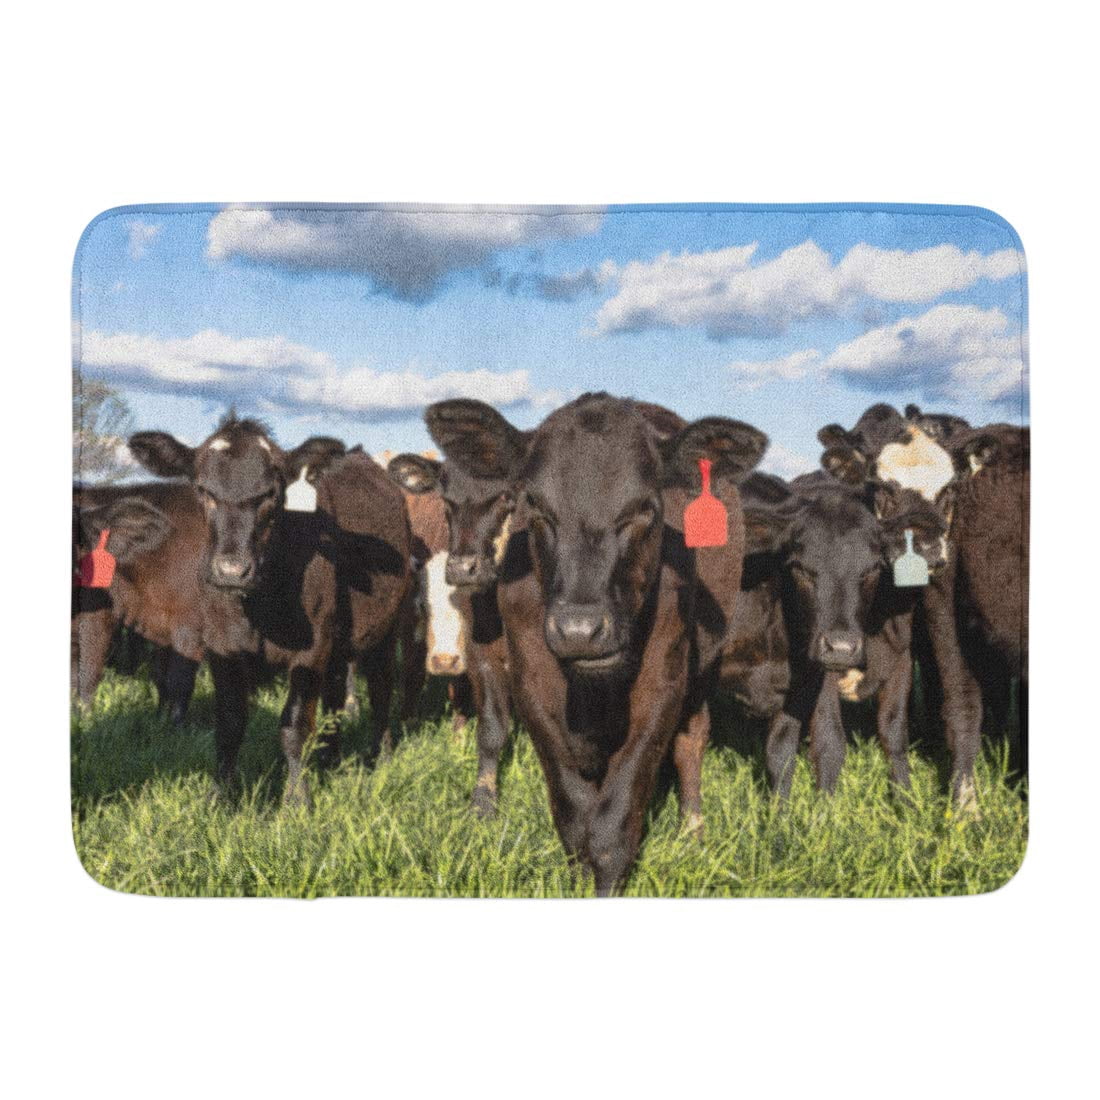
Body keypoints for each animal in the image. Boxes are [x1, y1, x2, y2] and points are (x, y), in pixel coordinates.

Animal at [127, 417, 412, 804]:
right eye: (204, 490)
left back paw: (380, 756)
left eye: (271, 495)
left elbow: (294, 726)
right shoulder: (222, 646)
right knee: (336, 695)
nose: (232, 570)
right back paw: (330, 758)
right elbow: (230, 723)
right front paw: (220, 795)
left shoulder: (311, 649)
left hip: (387, 627)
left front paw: (297, 800)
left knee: (382, 688)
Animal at [427, 393, 767, 894]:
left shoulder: (663, 688)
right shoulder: (529, 682)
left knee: (691, 743)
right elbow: (573, 817)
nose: (579, 629)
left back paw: (692, 831)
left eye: (645, 508)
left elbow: (611, 828)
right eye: (535, 505)